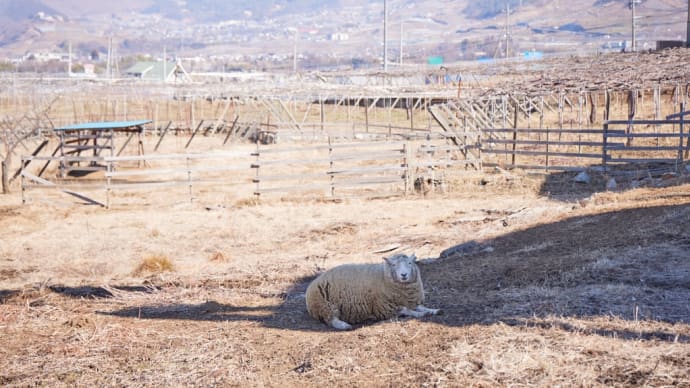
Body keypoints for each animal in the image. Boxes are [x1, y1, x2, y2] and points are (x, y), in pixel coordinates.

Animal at [304, 255, 438, 330]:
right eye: (394, 264)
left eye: (410, 263)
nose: (403, 275)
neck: (383, 276)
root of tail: (312, 283)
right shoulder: (385, 308)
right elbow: (408, 311)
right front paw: (421, 314)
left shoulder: (411, 302)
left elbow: (420, 307)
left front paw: (433, 310)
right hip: (326, 305)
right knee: (332, 320)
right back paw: (345, 325)